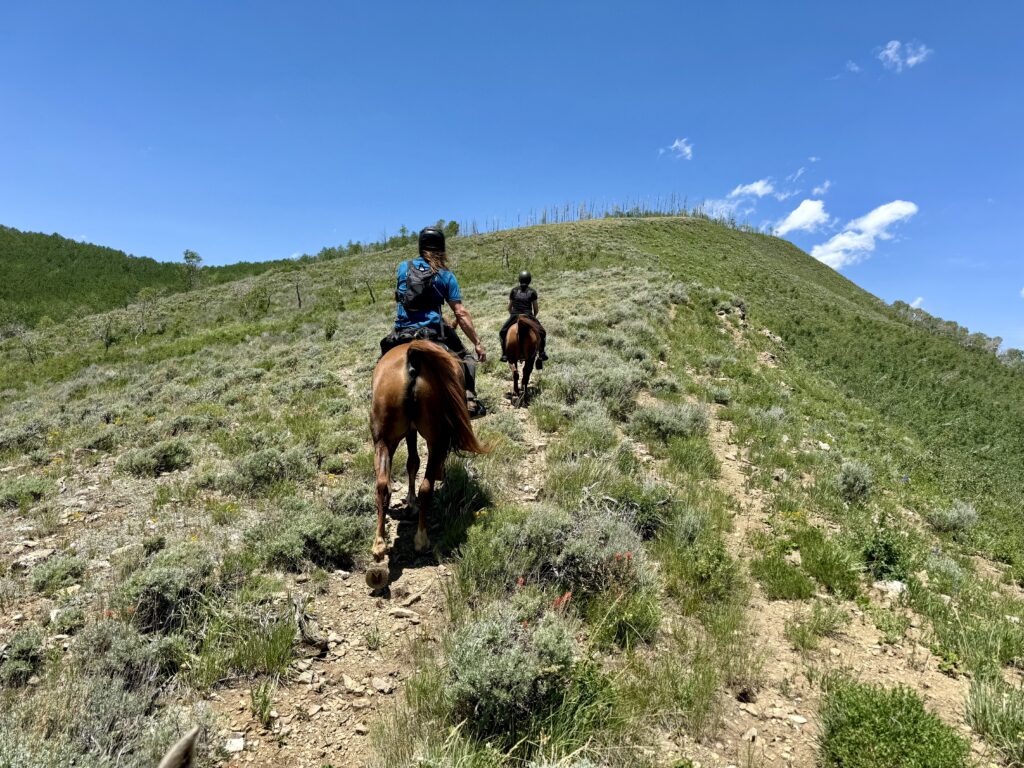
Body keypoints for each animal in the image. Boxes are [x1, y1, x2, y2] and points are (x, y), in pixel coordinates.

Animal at [366, 342, 485, 589]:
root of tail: (413, 356)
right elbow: (416, 464)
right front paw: (413, 502)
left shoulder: (409, 431)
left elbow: (412, 462)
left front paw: (409, 504)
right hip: (436, 438)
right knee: (426, 486)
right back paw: (421, 540)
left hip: (383, 439)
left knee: (382, 485)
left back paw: (379, 546)